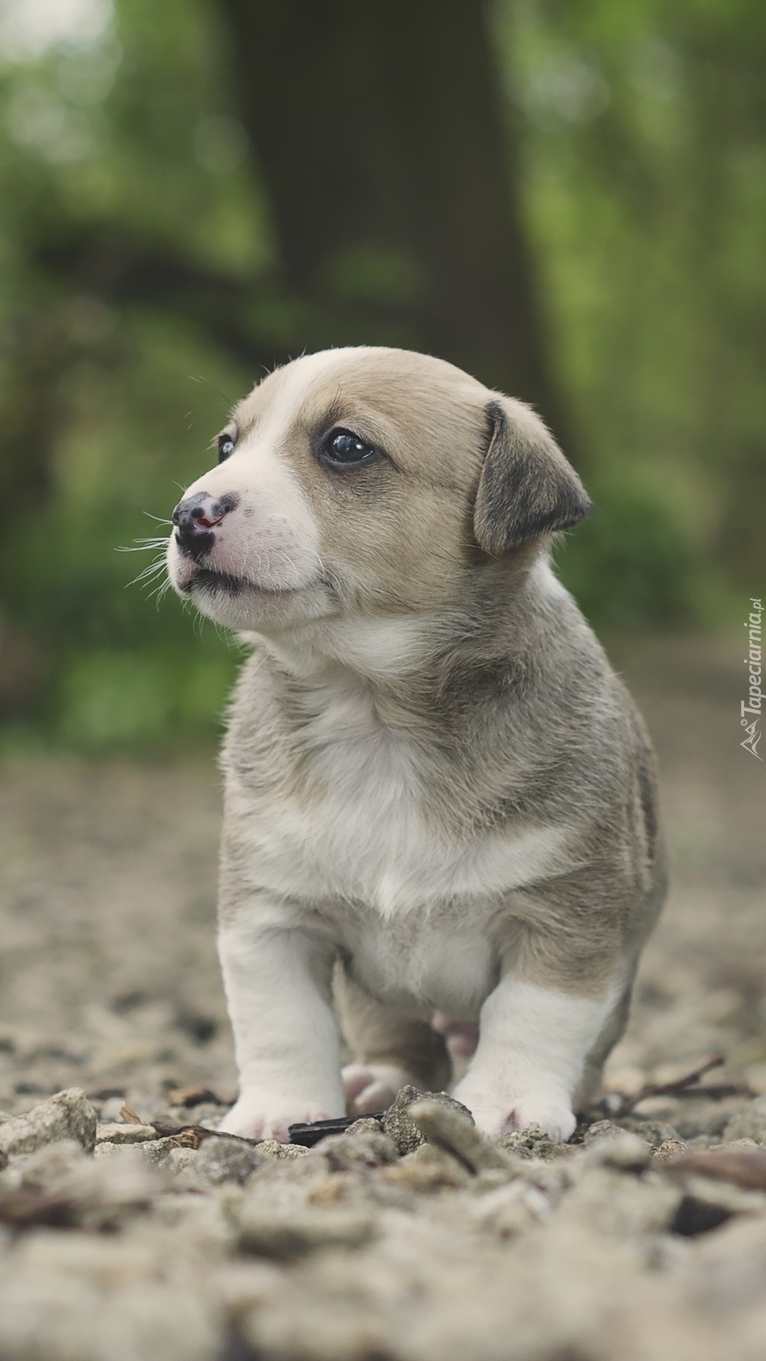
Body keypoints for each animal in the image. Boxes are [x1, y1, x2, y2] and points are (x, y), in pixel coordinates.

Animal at [166, 345, 666, 1143]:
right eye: (225, 446)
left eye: (344, 446)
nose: (189, 515)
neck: (374, 708)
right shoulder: (269, 915)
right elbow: (280, 1019)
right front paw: (281, 1108)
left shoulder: (566, 913)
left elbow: (534, 1015)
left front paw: (507, 1104)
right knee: (400, 1039)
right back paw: (376, 1081)